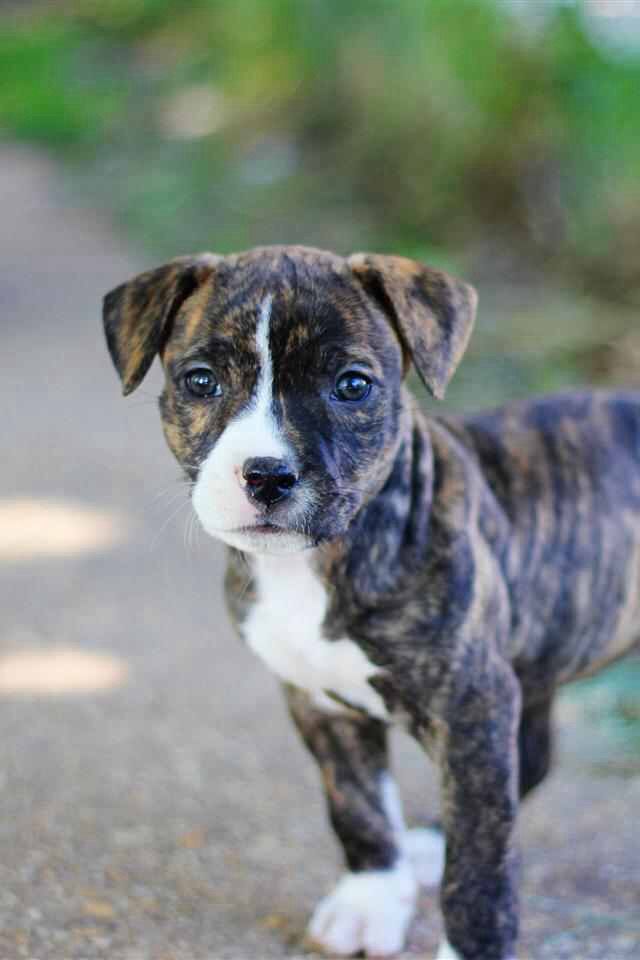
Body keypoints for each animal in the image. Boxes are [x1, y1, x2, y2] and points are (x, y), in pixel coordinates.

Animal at [103, 245, 640, 959]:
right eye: (200, 381)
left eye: (353, 386)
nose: (266, 475)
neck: (317, 565)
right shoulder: (319, 701)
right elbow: (358, 808)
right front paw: (371, 900)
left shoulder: (472, 704)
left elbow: (481, 862)